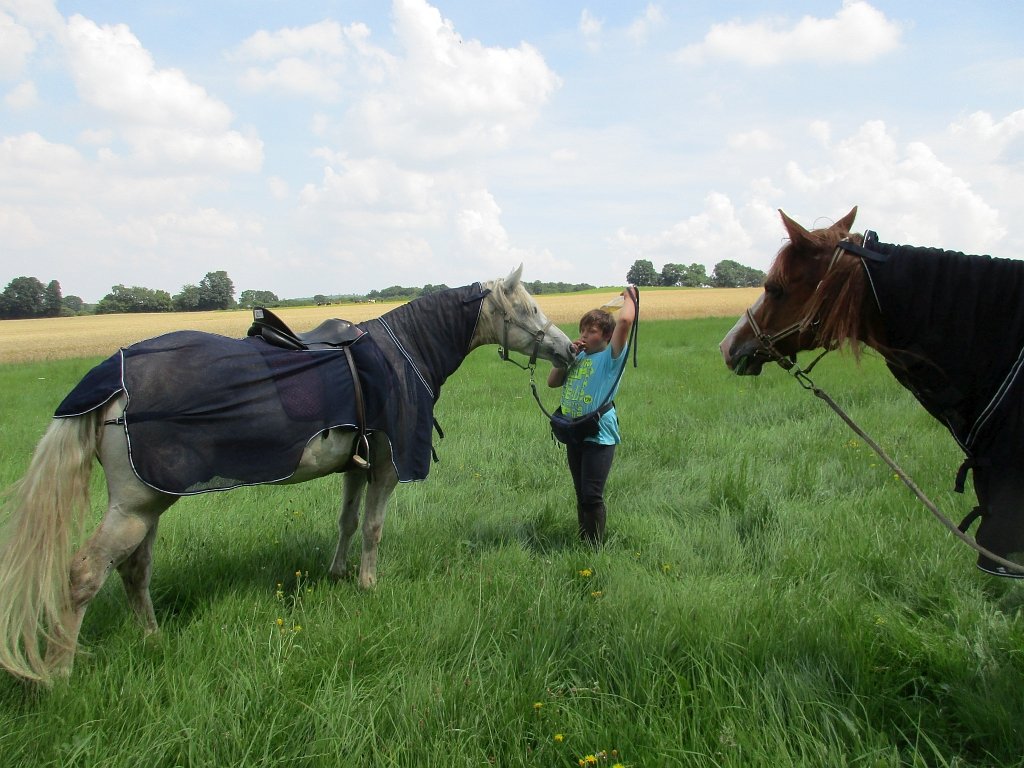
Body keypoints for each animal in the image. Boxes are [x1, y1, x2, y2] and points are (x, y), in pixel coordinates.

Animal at [0, 266, 573, 685]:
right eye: (528, 308)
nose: (568, 349)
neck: (400, 353)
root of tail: (111, 381)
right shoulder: (386, 467)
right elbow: (372, 528)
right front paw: (367, 585)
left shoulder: (356, 466)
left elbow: (346, 523)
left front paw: (338, 574)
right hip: (135, 504)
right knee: (84, 575)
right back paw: (60, 674)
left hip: (149, 502)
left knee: (134, 571)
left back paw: (151, 639)